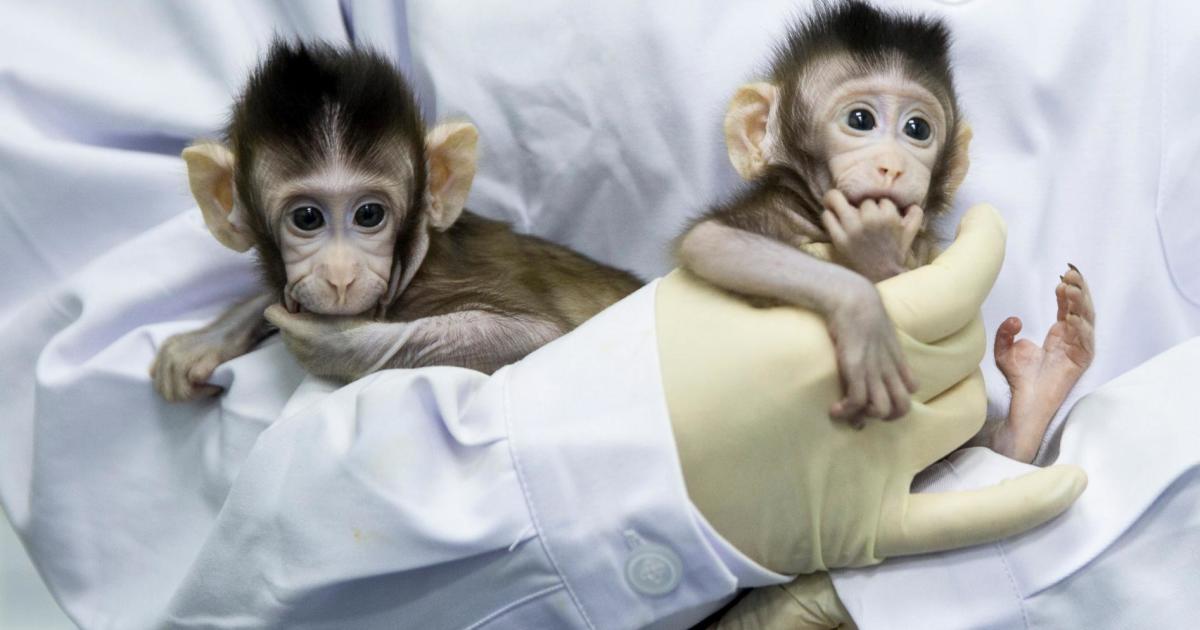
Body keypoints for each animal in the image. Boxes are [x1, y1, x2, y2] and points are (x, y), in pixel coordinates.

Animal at [150, 41, 642, 402]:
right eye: (307, 218)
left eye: (369, 214)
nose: (341, 276)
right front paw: (212, 336)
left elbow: (541, 336)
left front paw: (340, 341)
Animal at [676, 0, 1094, 464]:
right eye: (860, 120)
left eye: (917, 129)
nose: (892, 165)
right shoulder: (774, 210)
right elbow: (713, 242)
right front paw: (863, 310)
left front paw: (876, 250)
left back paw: (1039, 392)